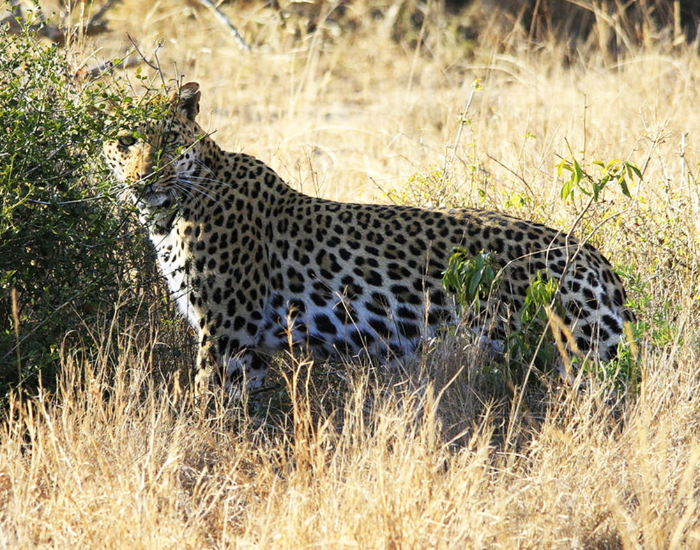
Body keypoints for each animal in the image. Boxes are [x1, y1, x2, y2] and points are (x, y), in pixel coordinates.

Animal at [103, 81, 634, 397]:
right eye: (126, 140)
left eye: (169, 140)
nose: (143, 178)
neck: (170, 212)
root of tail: (594, 258)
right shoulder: (249, 348)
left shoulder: (227, 332)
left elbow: (209, 409)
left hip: (578, 355)